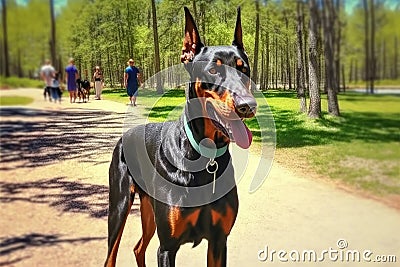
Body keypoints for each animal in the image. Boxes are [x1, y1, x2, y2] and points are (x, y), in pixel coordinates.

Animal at [104, 6, 258, 267]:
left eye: (244, 69)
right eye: (213, 70)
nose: (248, 105)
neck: (204, 156)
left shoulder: (219, 241)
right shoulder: (168, 246)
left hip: (149, 210)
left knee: (138, 247)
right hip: (119, 205)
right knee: (111, 254)